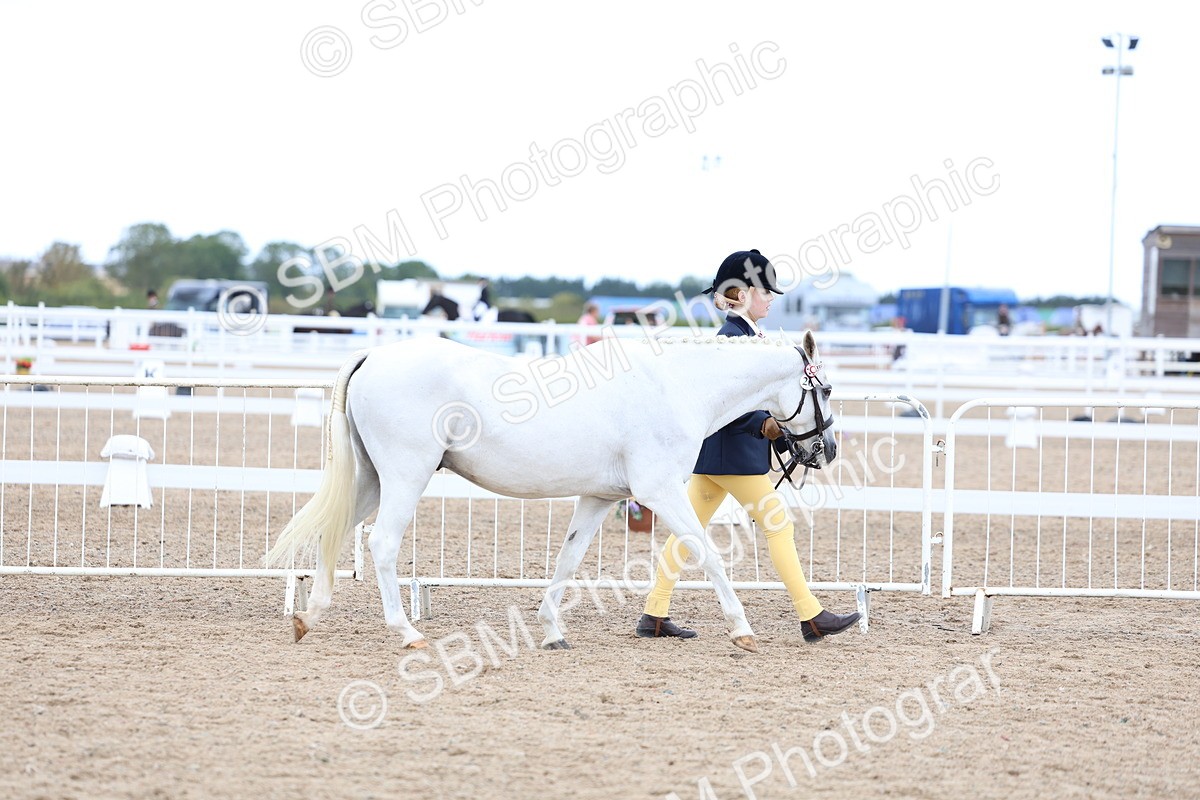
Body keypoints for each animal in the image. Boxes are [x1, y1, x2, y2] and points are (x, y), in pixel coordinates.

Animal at [265, 330, 837, 653]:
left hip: (372, 478)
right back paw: (406, 633)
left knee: (335, 533)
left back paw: (307, 618)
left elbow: (568, 559)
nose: (826, 448)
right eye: (827, 388)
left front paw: (550, 631)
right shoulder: (659, 492)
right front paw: (742, 630)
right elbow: (709, 555)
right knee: (381, 545)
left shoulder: (600, 497)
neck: (675, 386)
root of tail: (374, 356)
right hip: (406, 474)